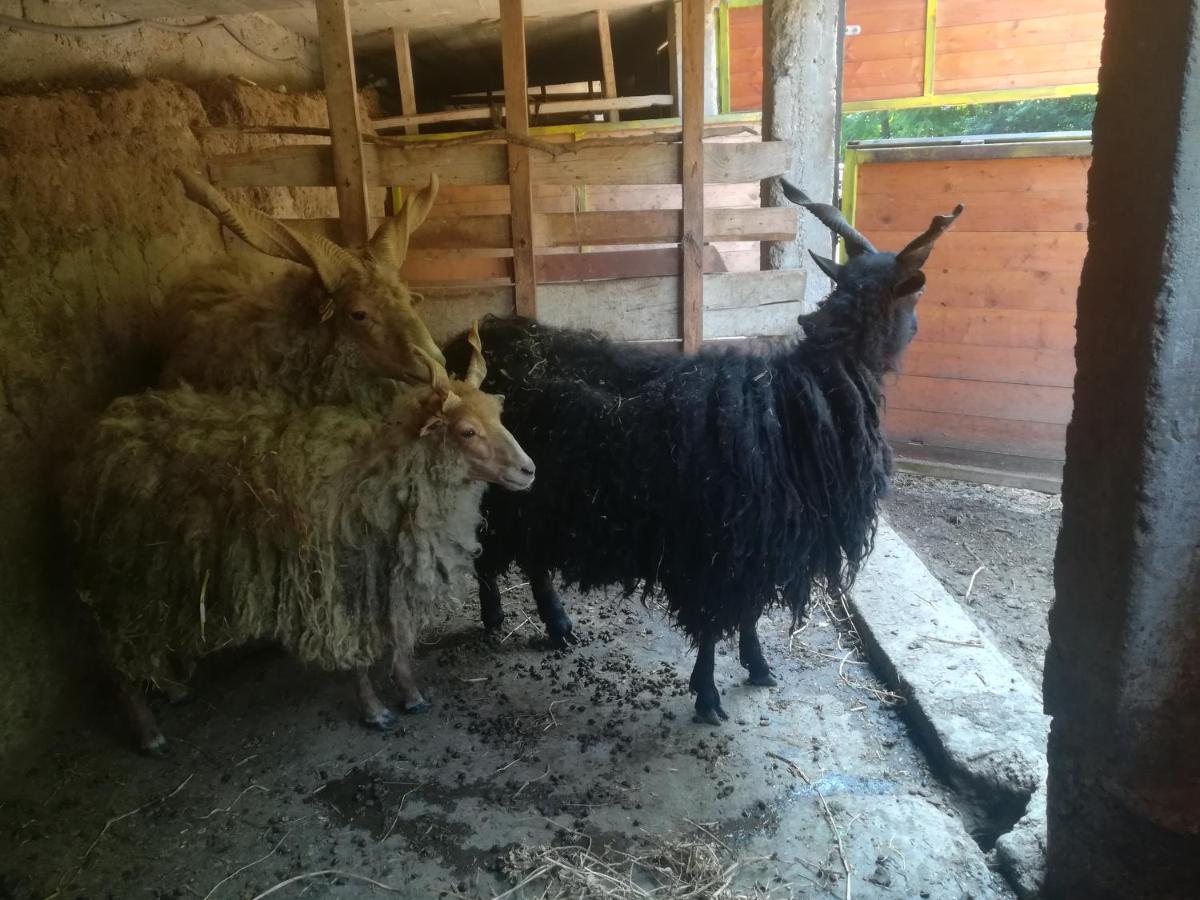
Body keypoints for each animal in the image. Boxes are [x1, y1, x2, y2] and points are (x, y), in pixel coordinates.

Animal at [446, 184, 960, 724]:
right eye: (915, 295)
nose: (919, 327)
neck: (803, 391)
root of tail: (464, 344)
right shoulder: (718, 549)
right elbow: (714, 626)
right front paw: (708, 695)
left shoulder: (752, 548)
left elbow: (748, 616)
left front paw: (757, 667)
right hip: (501, 498)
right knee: (492, 559)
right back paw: (496, 617)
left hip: (533, 502)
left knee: (532, 564)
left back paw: (557, 626)